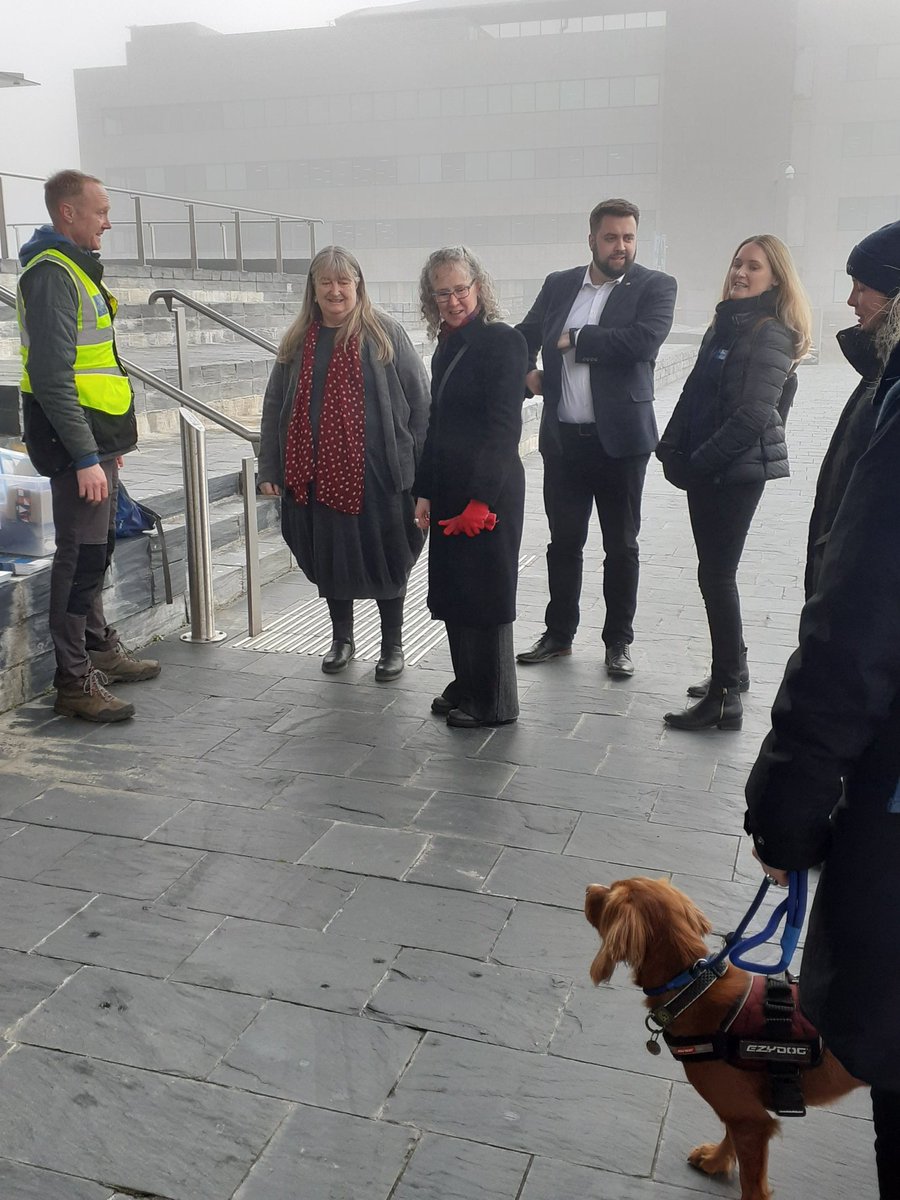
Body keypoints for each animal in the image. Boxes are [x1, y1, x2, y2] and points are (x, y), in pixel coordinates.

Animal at [585, 873, 859, 1200]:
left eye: (610, 896)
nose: (588, 888)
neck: (693, 989)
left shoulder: (750, 1120)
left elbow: (751, 1184)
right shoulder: (742, 1111)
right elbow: (730, 1134)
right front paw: (717, 1160)